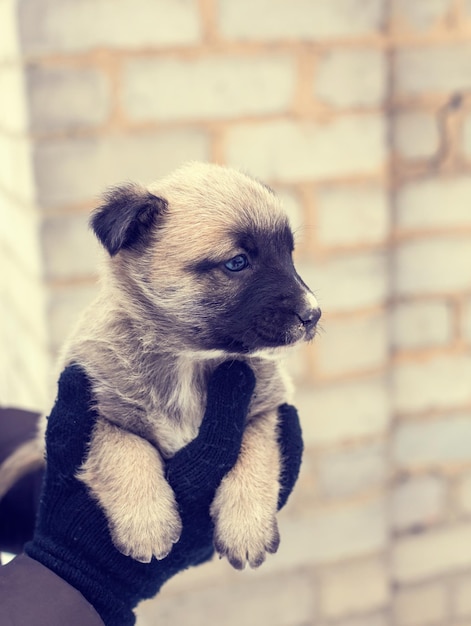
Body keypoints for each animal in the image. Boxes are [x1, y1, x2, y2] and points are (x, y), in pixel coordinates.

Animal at [0, 162, 320, 572]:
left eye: (289, 254)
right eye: (237, 262)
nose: (313, 315)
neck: (187, 358)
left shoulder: (266, 407)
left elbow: (254, 452)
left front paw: (246, 529)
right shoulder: (95, 411)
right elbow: (127, 450)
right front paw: (148, 526)